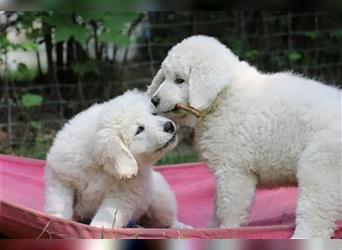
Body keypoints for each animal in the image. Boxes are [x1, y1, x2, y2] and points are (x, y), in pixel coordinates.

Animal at [44, 90, 191, 229]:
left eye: (154, 114)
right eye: (139, 129)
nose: (169, 126)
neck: (100, 165)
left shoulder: (122, 195)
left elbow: (107, 216)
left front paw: (99, 229)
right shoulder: (61, 179)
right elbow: (59, 203)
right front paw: (56, 221)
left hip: (160, 200)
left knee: (167, 220)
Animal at [148, 35, 342, 238]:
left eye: (180, 80)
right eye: (164, 77)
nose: (154, 100)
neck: (222, 97)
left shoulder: (234, 171)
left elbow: (229, 207)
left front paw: (226, 230)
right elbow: (217, 204)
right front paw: (210, 228)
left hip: (321, 166)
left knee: (315, 213)